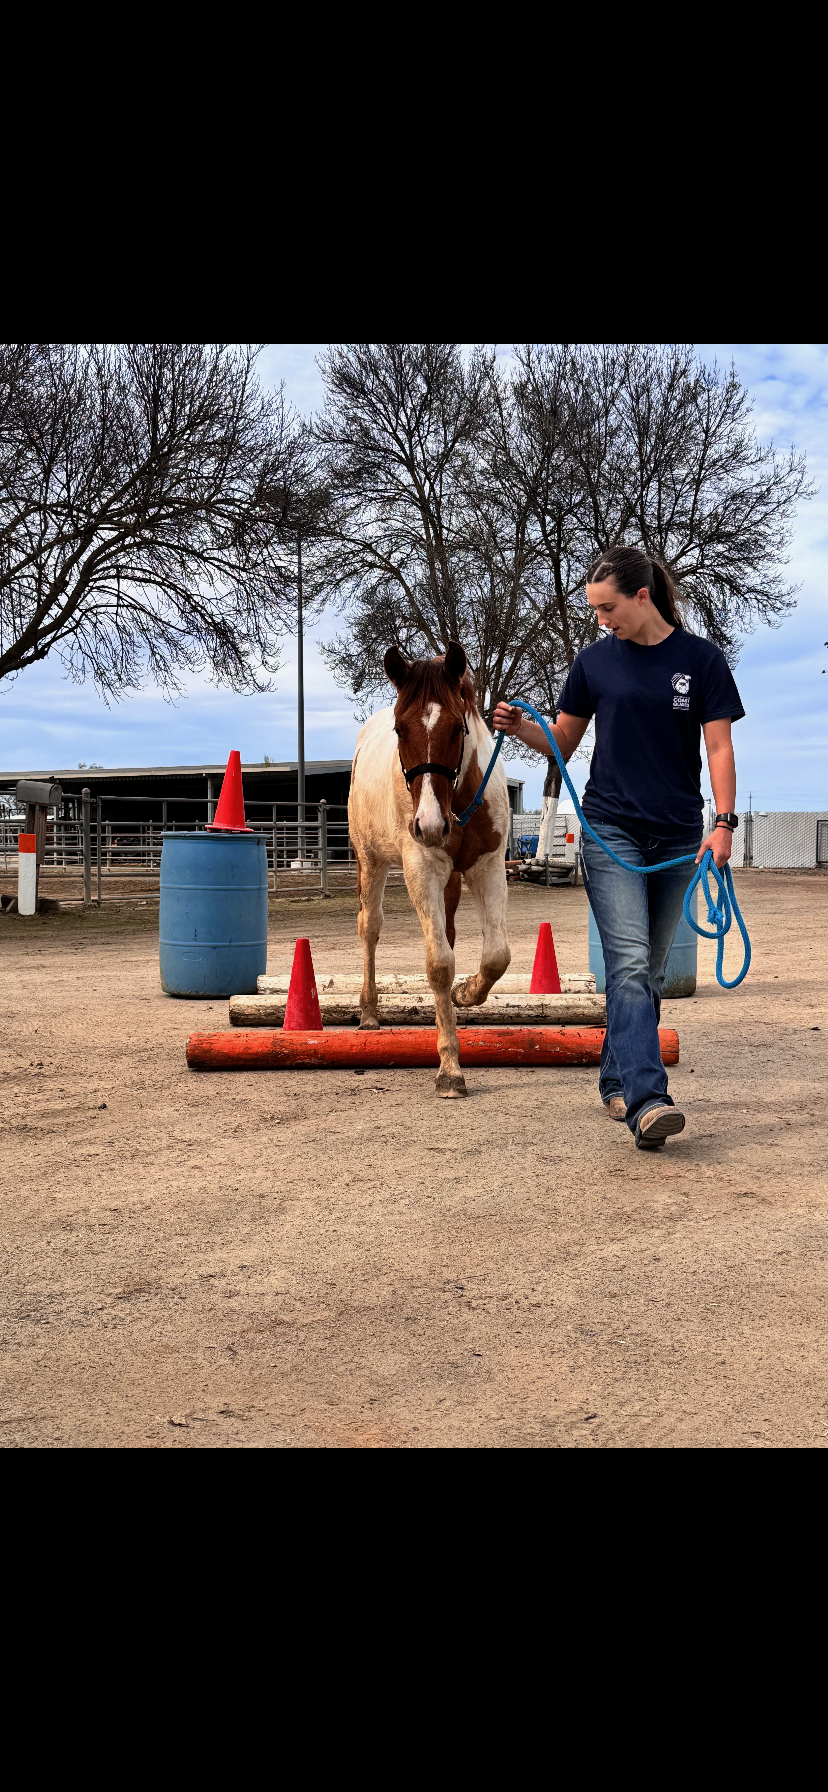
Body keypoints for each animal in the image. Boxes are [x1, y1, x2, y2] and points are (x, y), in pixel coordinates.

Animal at [347, 641, 511, 1097]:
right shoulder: (422, 869)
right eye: (401, 730)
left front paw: (465, 993)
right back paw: (369, 1012)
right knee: (370, 928)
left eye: (458, 728)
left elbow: (496, 956)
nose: (431, 826)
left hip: (451, 879)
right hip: (371, 861)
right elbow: (438, 964)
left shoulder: (488, 868)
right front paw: (450, 1069)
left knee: (451, 933)